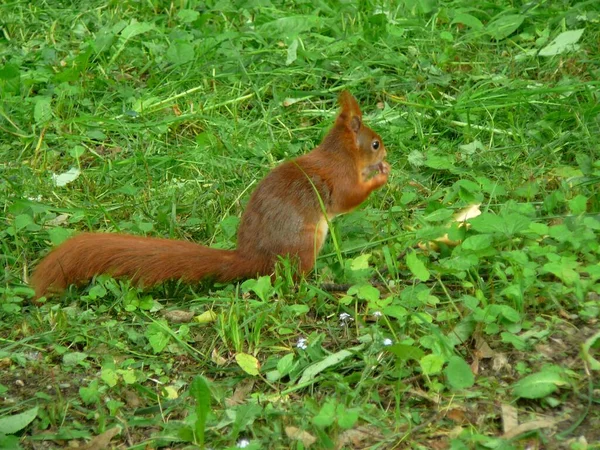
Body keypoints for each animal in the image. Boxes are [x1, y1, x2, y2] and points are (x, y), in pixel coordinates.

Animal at [31, 91, 390, 298]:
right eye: (375, 144)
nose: (386, 155)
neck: (339, 155)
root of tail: (250, 258)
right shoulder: (339, 179)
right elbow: (349, 198)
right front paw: (380, 177)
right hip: (305, 244)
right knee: (291, 280)